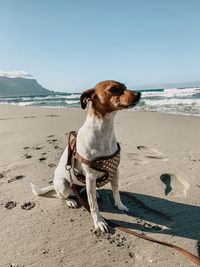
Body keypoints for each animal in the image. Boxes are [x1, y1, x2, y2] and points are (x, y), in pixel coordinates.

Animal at [31, 80, 141, 233]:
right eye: (113, 89)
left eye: (125, 87)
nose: (139, 93)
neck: (104, 130)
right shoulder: (90, 176)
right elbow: (93, 205)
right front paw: (99, 221)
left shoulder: (115, 171)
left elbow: (116, 193)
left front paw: (120, 205)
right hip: (64, 184)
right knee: (61, 195)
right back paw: (70, 201)